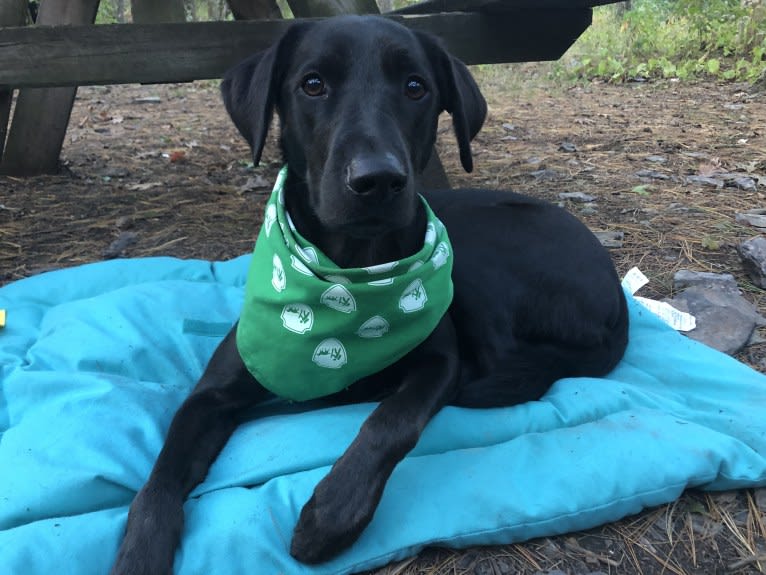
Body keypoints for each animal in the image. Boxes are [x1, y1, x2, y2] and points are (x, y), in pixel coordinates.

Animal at [112, 15, 632, 572]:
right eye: (312, 84)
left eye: (415, 87)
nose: (377, 179)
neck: (350, 270)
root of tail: (618, 297)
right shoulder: (210, 393)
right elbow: (158, 479)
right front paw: (139, 553)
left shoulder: (439, 363)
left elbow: (393, 422)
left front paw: (333, 513)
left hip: (477, 256)